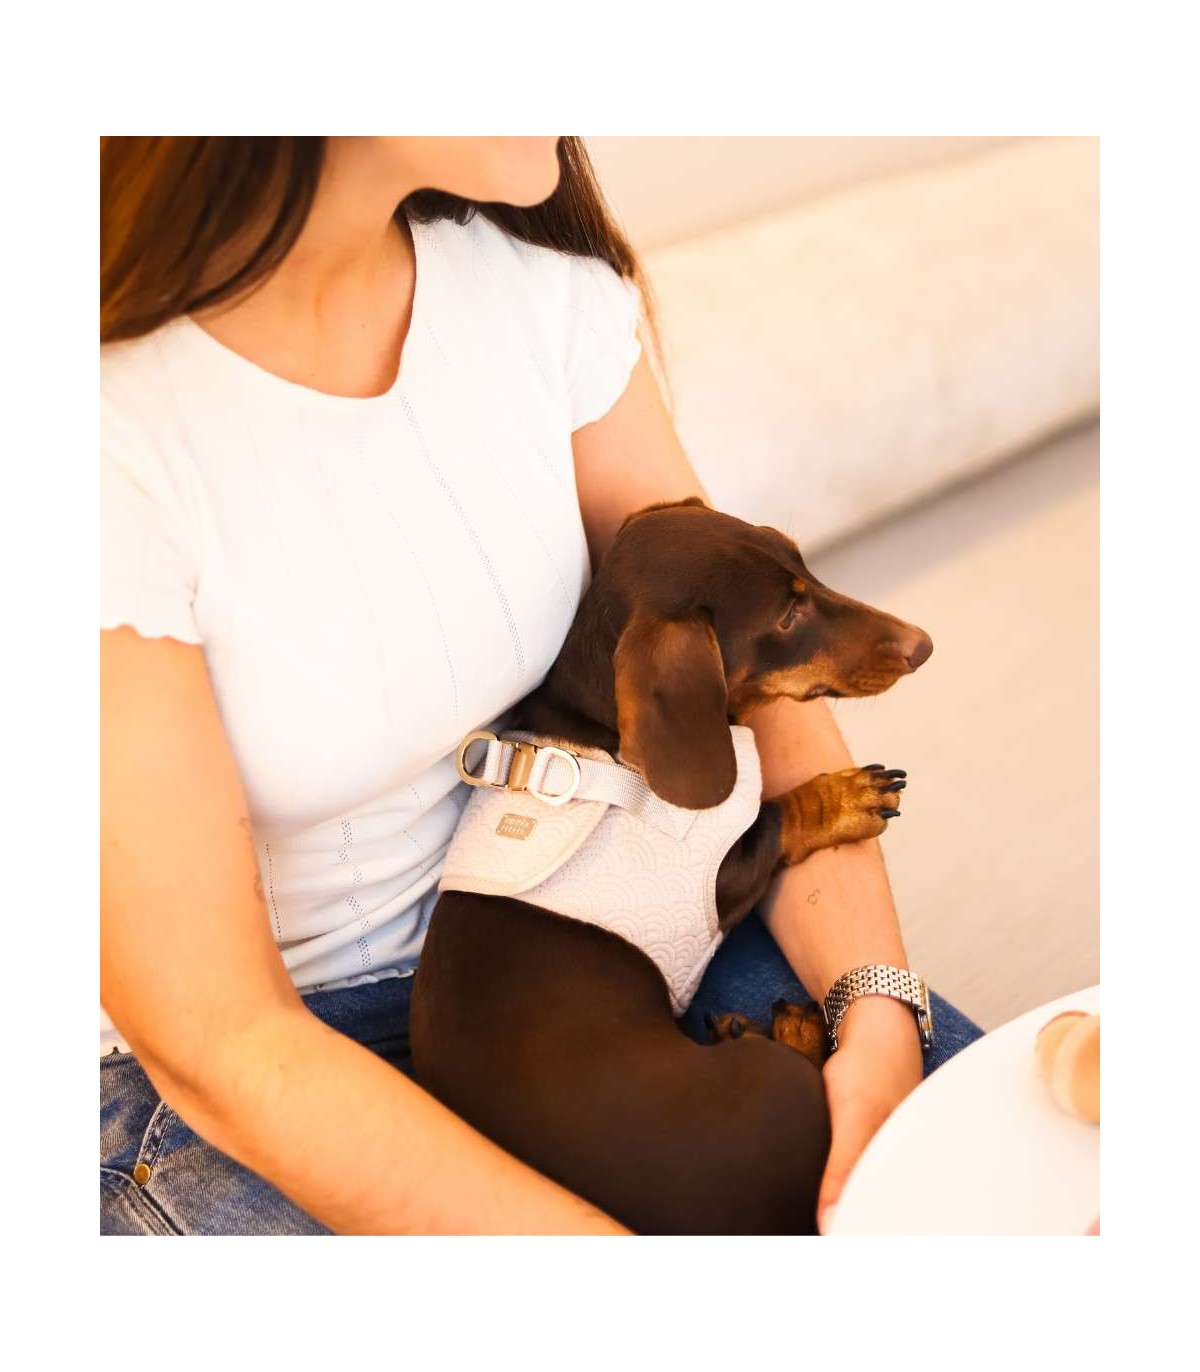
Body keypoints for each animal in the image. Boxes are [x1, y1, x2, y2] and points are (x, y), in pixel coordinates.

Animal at [409, 498, 932, 1234]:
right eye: (787, 617)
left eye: (803, 561)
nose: (922, 644)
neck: (598, 737)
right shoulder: (716, 878)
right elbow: (774, 816)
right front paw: (843, 796)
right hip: (778, 1093)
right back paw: (790, 1028)